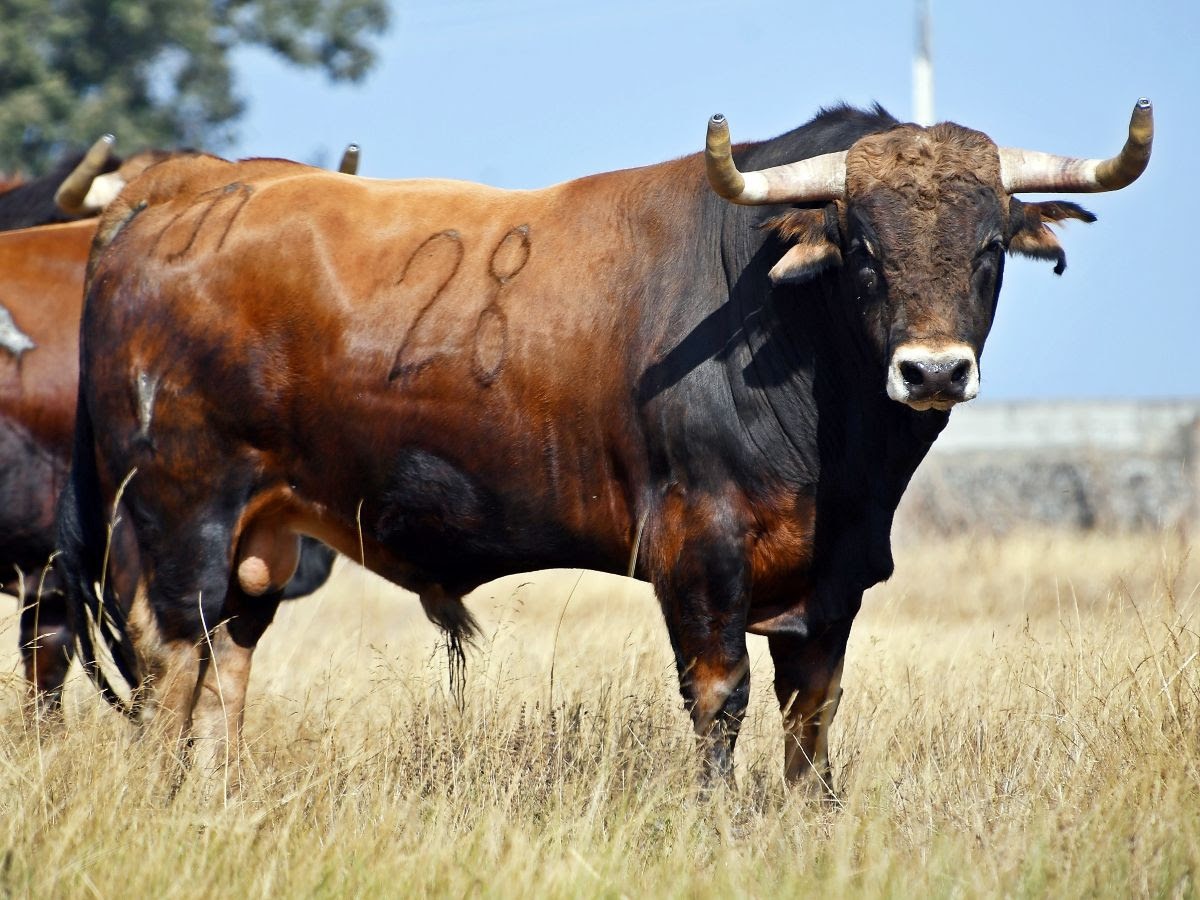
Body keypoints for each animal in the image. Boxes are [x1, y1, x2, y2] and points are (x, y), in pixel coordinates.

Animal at [58, 99, 1152, 788]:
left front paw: (814, 818)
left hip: (262, 535)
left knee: (225, 662)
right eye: (864, 248)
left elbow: (813, 712)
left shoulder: (833, 578)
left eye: (989, 246)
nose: (932, 372)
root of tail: (170, 198)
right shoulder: (699, 551)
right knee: (172, 660)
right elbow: (721, 697)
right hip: (180, 511)